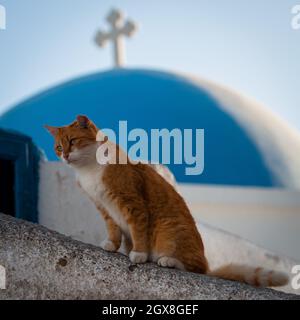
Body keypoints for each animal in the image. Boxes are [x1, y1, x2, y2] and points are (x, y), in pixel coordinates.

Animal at [44, 115, 288, 288]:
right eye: (58, 147)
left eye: (73, 141)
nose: (65, 156)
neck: (89, 170)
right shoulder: (103, 207)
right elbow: (113, 229)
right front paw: (112, 246)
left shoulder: (132, 203)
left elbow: (138, 231)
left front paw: (139, 254)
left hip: (168, 231)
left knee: (196, 268)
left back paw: (168, 260)